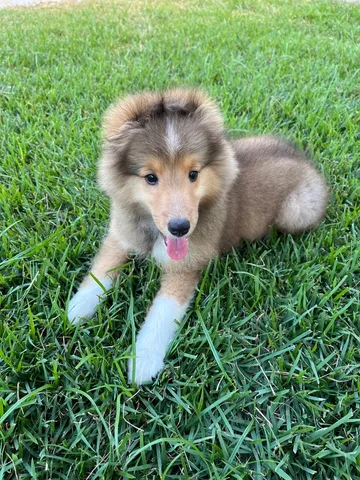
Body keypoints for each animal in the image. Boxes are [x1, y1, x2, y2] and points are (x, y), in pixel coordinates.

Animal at [67, 88, 330, 384]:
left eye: (193, 174)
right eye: (150, 177)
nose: (180, 228)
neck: (152, 231)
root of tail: (305, 160)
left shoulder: (185, 265)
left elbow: (163, 311)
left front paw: (143, 360)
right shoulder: (121, 234)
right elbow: (101, 269)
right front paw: (78, 308)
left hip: (297, 211)